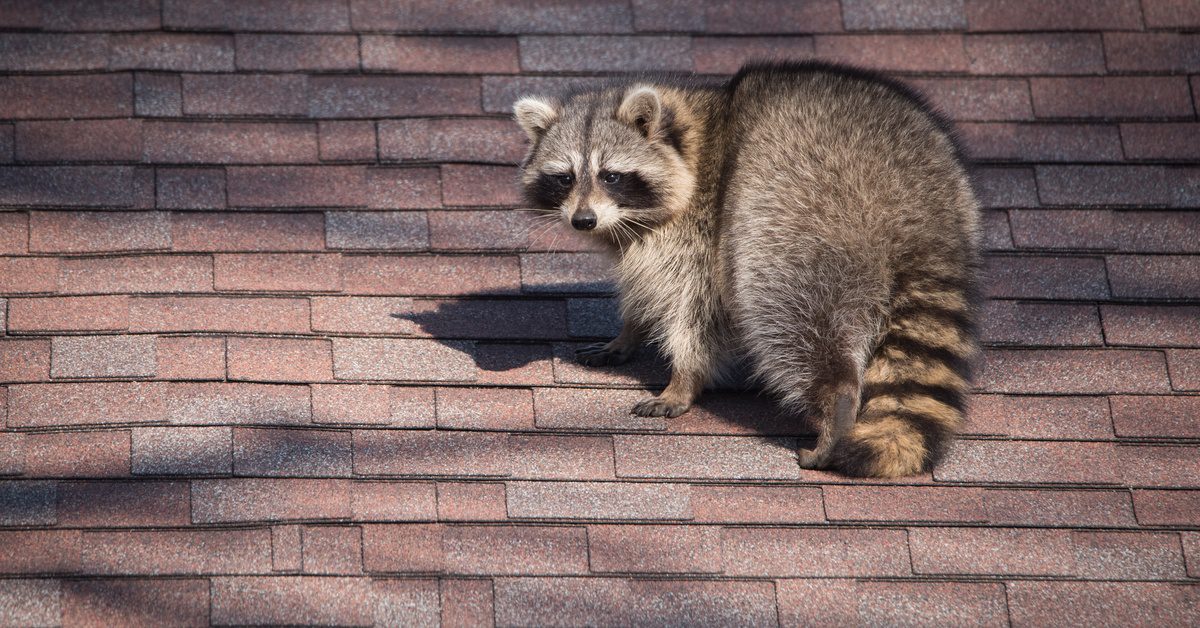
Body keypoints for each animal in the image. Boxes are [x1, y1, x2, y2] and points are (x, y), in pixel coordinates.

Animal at [513, 61, 980, 478]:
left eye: (610, 176)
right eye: (565, 177)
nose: (583, 220)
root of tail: (917, 205)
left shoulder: (701, 230)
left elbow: (696, 309)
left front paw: (684, 378)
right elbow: (643, 286)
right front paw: (630, 331)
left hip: (798, 214)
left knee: (787, 309)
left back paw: (837, 400)